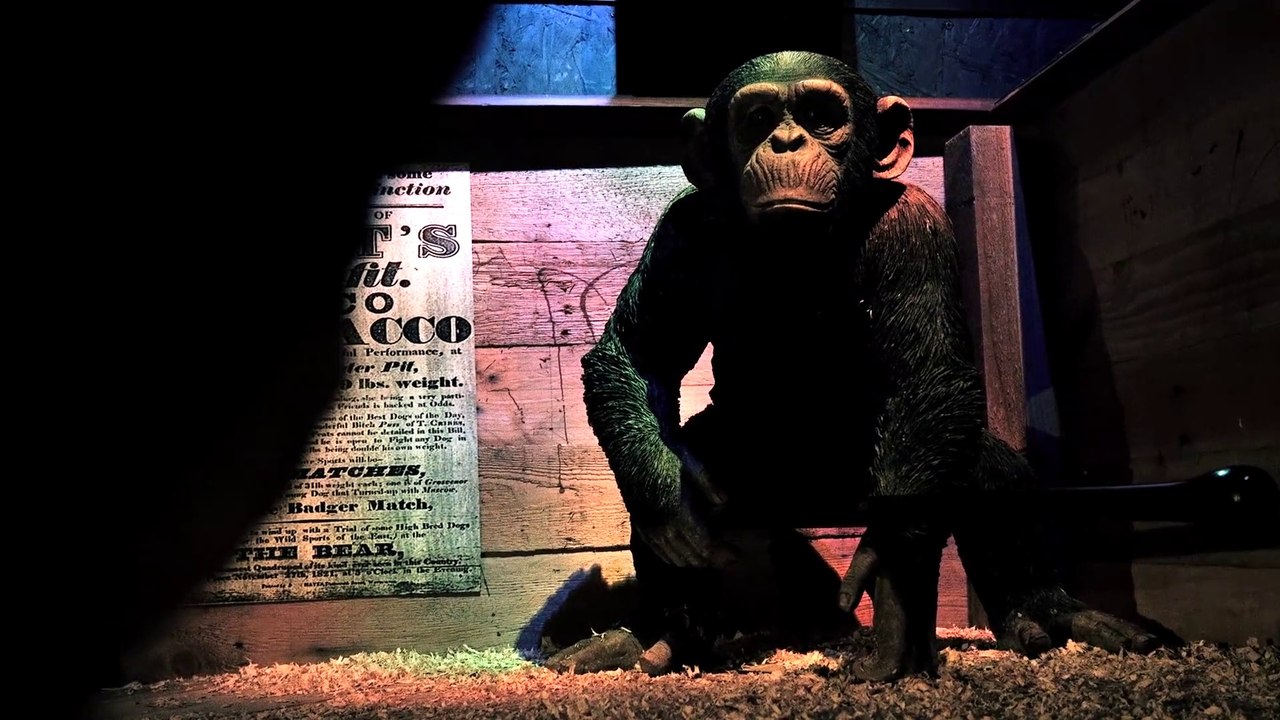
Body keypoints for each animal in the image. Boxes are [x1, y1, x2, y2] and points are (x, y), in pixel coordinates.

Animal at [552, 50, 1159, 681]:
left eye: (822, 117)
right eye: (758, 118)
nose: (787, 141)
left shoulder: (915, 223)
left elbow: (929, 374)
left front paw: (893, 573)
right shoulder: (681, 233)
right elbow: (639, 356)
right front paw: (669, 497)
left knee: (984, 464)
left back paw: (1046, 614)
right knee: (685, 460)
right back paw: (654, 637)